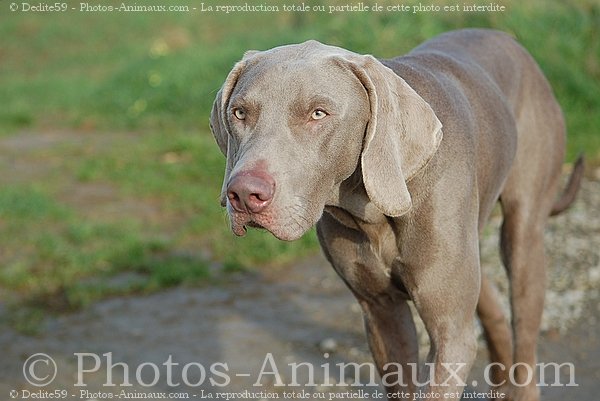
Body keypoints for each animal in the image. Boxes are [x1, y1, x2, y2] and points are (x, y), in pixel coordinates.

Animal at [210, 29, 580, 398]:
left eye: (318, 114)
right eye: (239, 113)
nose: (244, 194)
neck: (372, 213)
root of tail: (507, 39)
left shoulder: (449, 333)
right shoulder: (381, 311)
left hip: (523, 233)